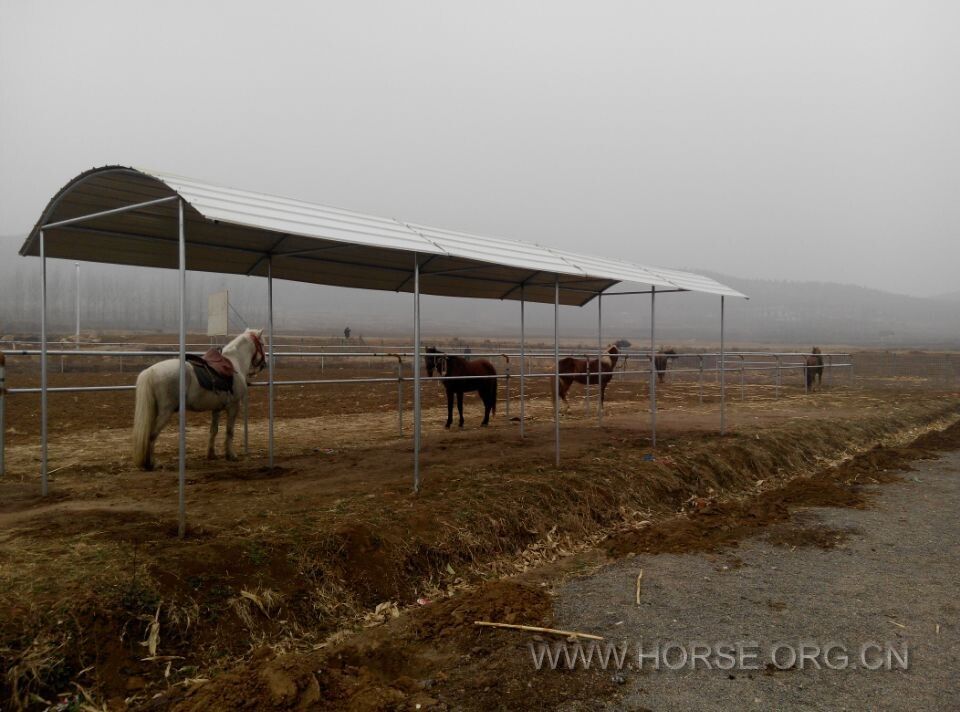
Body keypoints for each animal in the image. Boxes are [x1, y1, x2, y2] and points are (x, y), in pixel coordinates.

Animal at [132, 330, 266, 472]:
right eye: (263, 344)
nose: (265, 364)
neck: (235, 362)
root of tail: (150, 371)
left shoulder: (216, 409)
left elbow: (213, 430)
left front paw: (211, 454)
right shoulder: (233, 406)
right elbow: (229, 431)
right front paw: (231, 455)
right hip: (165, 412)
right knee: (152, 435)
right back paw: (151, 464)